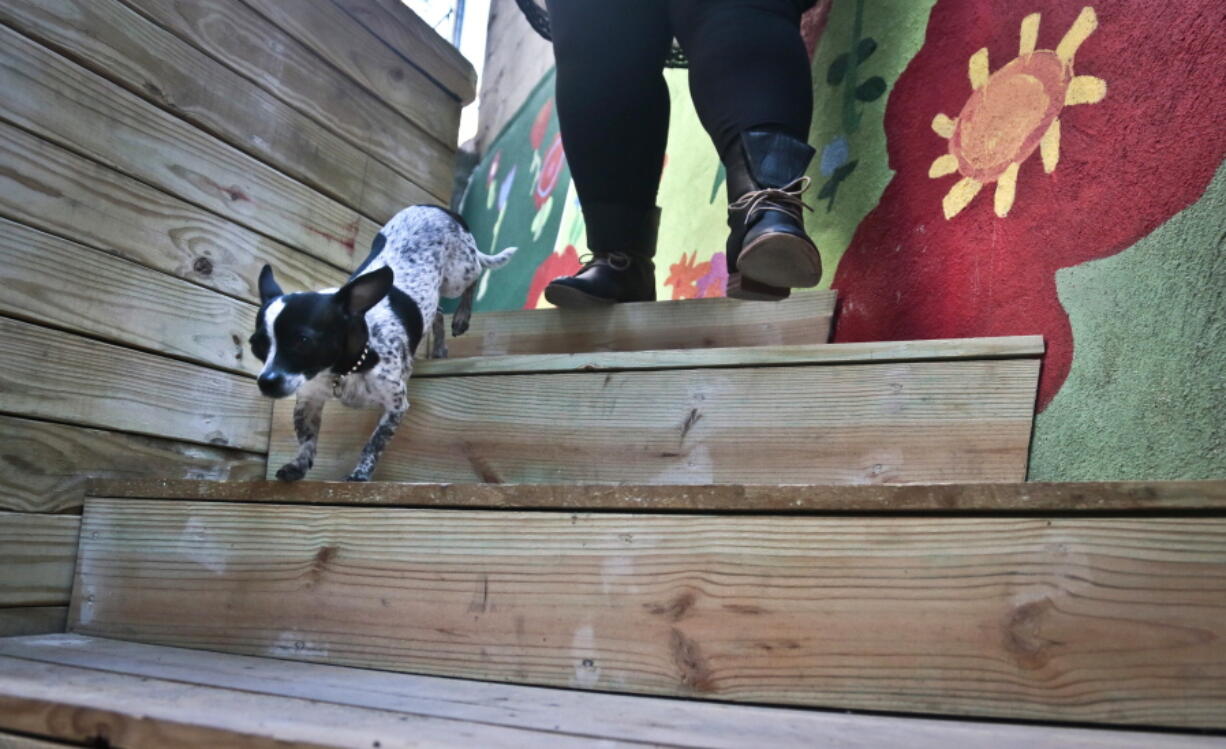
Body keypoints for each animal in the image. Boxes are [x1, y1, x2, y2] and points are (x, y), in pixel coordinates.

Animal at [251, 204, 514, 482]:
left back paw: (462, 316)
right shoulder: (309, 401)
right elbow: (306, 439)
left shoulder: (395, 406)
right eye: (256, 346)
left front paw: (361, 472)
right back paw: (440, 347)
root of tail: (437, 207)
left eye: (303, 341)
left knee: (474, 278)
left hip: (458, 273)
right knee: (439, 311)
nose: (265, 382)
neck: (347, 368)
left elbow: (374, 443)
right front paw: (298, 464)